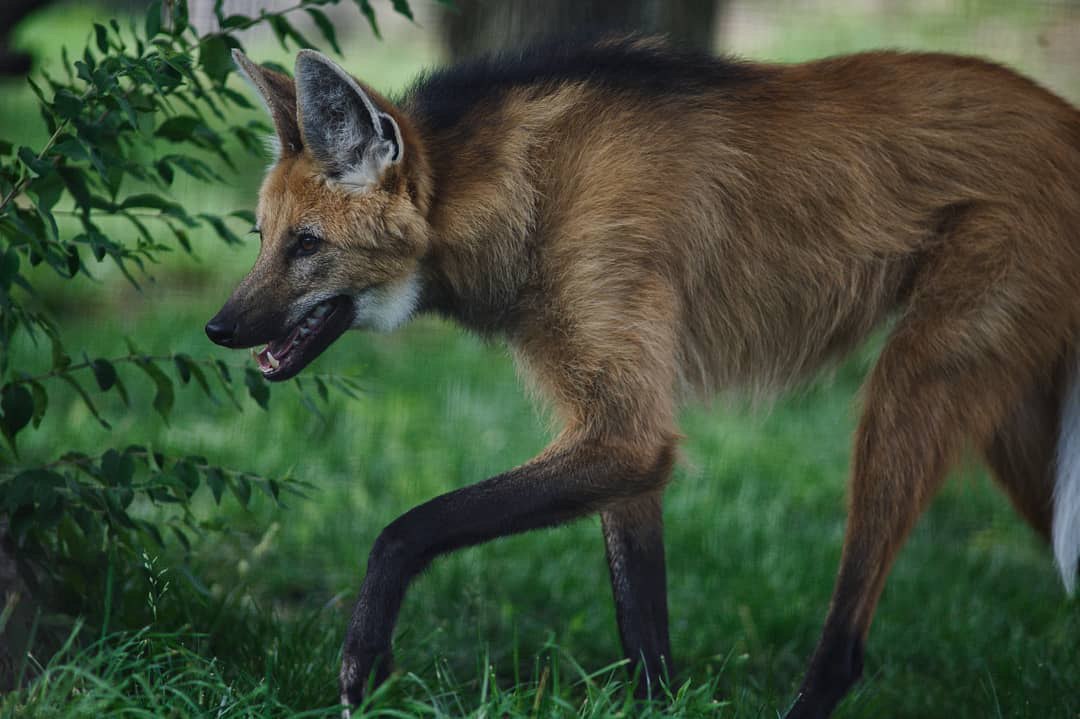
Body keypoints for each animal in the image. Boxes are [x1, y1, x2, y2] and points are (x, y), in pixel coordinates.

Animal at [206, 37, 1080, 718]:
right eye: (262, 236)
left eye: (308, 245)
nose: (220, 327)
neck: (520, 195)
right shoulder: (621, 434)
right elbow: (642, 623)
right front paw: (659, 703)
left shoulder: (626, 428)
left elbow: (403, 528)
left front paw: (365, 659)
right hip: (1021, 423)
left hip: (918, 379)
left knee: (848, 643)